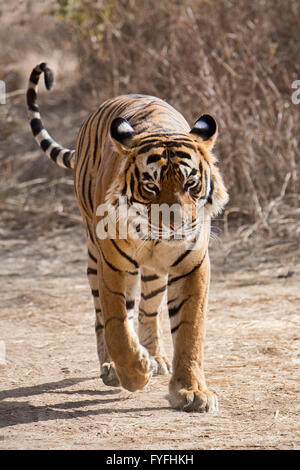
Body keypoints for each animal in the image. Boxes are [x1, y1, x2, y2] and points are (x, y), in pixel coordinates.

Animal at [27, 62, 227, 412]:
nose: (175, 227)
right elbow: (117, 325)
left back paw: (156, 358)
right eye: (151, 186)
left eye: (190, 184)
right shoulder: (114, 266)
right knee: (102, 317)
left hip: (154, 274)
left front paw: (190, 391)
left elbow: (189, 331)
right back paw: (113, 368)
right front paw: (134, 375)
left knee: (147, 310)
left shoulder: (192, 266)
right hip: (95, 258)